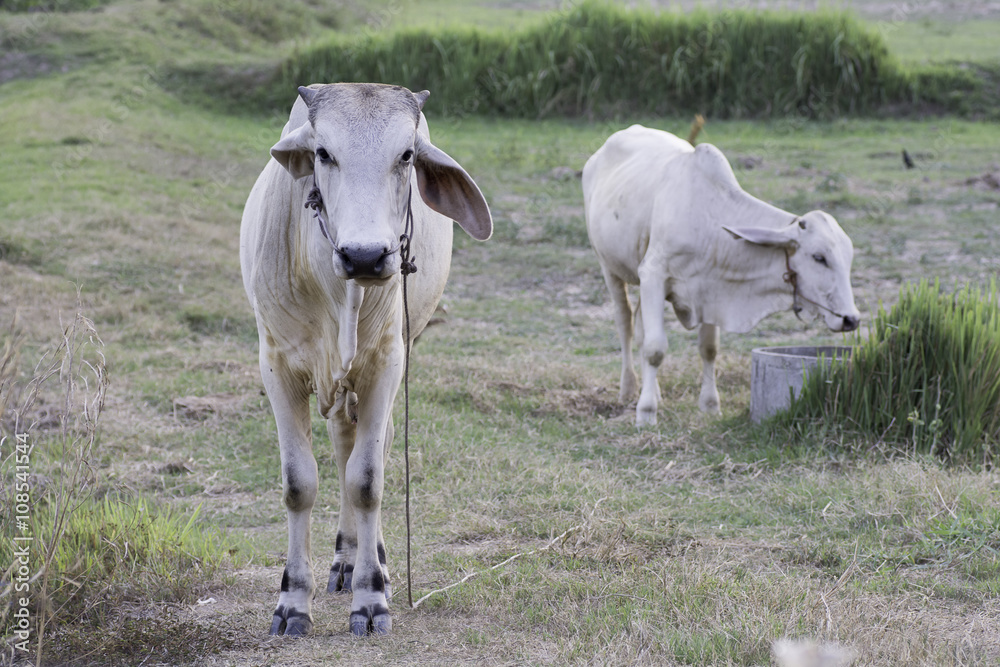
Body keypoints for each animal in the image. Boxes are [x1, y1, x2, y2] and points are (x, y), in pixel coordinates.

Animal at [240, 83, 492, 636]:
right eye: (323, 153)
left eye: (407, 155)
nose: (364, 256)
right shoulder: (276, 364)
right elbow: (299, 483)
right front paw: (292, 602)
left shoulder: (386, 364)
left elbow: (368, 479)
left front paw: (371, 596)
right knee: (341, 444)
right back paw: (345, 557)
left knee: (366, 453)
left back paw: (368, 559)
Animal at [582, 125, 860, 426]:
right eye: (819, 257)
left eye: (848, 258)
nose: (851, 319)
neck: (708, 219)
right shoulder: (654, 274)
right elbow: (655, 349)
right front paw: (645, 413)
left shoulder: (709, 290)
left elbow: (708, 348)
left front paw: (710, 405)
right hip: (608, 266)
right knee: (625, 322)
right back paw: (629, 389)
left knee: (641, 327)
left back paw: (654, 391)